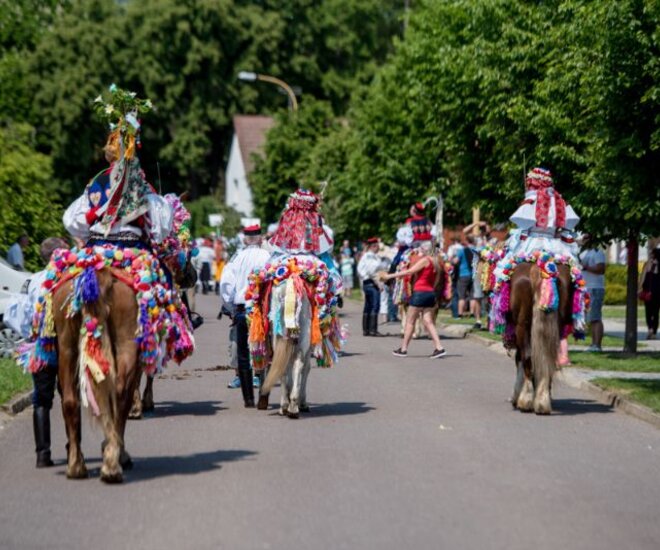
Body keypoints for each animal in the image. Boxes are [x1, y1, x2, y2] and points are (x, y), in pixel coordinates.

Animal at [245, 256, 342, 420]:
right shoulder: (307, 348)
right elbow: (306, 369)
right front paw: (302, 403)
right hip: (300, 341)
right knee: (298, 365)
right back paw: (292, 406)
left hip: (280, 338)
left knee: (286, 367)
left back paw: (287, 406)